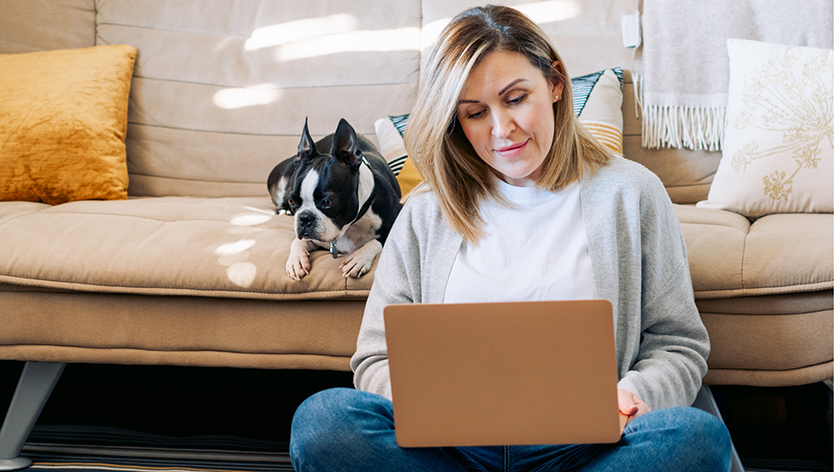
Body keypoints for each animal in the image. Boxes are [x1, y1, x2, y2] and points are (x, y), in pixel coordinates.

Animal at [264, 119, 398, 280]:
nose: (304, 218)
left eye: (327, 202)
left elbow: (376, 241)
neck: (350, 227)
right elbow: (297, 241)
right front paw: (296, 260)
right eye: (292, 201)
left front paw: (358, 258)